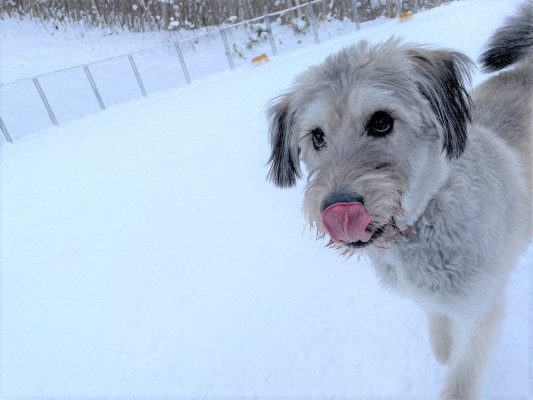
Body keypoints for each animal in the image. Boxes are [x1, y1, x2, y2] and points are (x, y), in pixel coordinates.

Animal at [264, 1, 528, 398]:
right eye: (317, 137)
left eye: (381, 122)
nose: (338, 209)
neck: (424, 219)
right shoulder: (430, 298)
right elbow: (439, 330)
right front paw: (442, 347)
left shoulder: (480, 311)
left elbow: (461, 380)